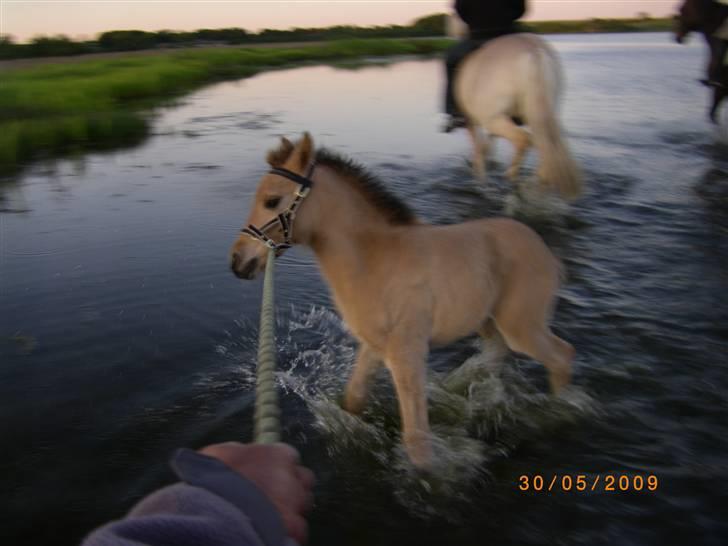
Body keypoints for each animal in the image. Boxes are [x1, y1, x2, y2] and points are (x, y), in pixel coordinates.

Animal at [229, 133, 576, 468]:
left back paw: (561, 410)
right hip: (489, 323)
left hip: (522, 328)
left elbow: (416, 439)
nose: (238, 262)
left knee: (562, 356)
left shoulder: (406, 354)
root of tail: (546, 253)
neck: (375, 260)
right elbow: (353, 399)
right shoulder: (373, 346)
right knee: (496, 355)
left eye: (272, 200)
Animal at [450, 18, 580, 200]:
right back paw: (535, 185)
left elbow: (478, 150)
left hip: (495, 119)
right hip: (537, 116)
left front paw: (481, 182)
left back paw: (512, 177)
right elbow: (487, 145)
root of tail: (533, 51)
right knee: (543, 149)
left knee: (523, 140)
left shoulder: (472, 121)